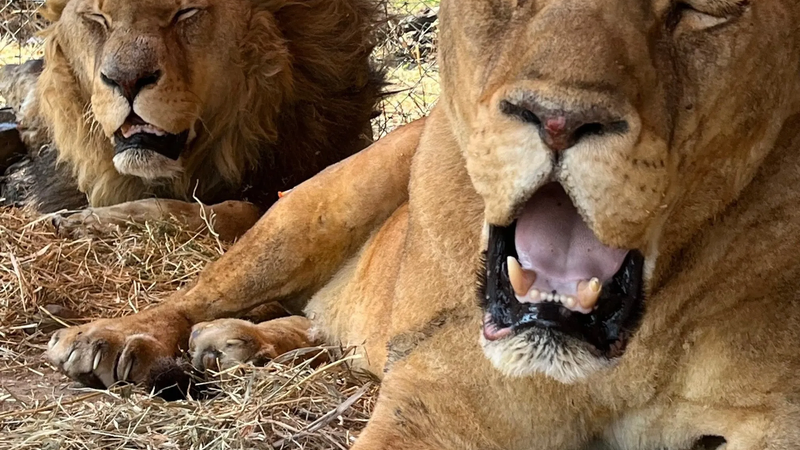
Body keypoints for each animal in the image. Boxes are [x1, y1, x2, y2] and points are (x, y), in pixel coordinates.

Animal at [46, 0, 800, 448]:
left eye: (704, 9)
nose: (557, 120)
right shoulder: (445, 402)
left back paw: (235, 343)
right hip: (321, 206)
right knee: (201, 290)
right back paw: (120, 338)